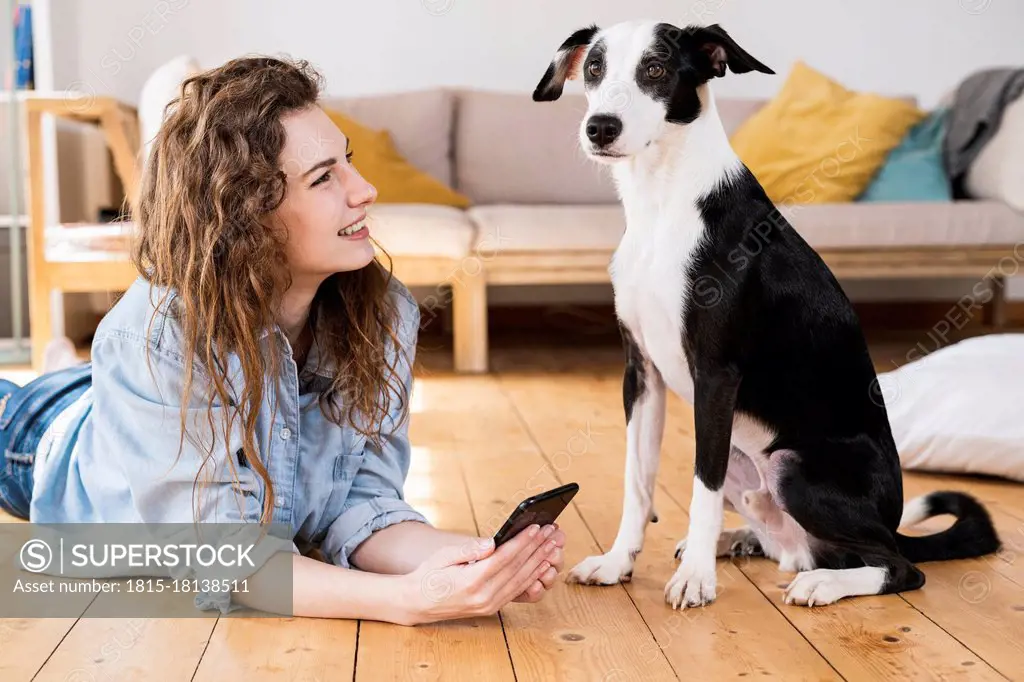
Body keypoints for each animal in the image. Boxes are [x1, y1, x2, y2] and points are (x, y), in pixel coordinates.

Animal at [532, 19, 995, 606]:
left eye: (655, 68)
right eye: (594, 67)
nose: (600, 128)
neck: (663, 203)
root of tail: (891, 521)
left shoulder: (716, 375)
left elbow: (700, 491)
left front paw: (695, 580)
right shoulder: (642, 374)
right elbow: (637, 482)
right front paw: (618, 562)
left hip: (790, 465)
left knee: (897, 566)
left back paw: (819, 582)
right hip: (745, 460)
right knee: (792, 546)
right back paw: (742, 541)